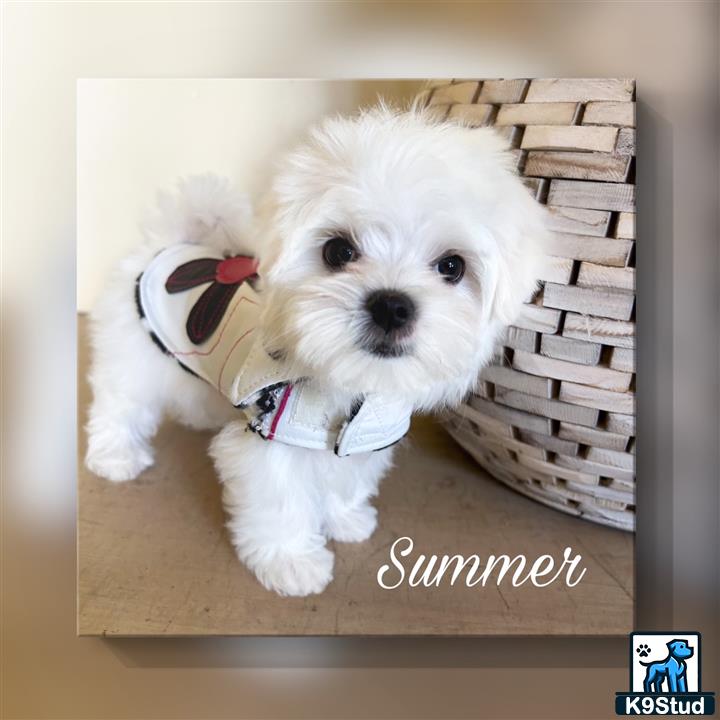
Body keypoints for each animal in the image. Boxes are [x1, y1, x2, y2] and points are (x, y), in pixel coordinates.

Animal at [83, 108, 544, 596]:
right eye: (338, 251)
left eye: (452, 266)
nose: (391, 305)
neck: (351, 383)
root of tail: (172, 243)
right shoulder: (270, 437)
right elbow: (281, 500)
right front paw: (291, 561)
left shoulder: (365, 439)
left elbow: (345, 480)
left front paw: (345, 519)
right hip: (133, 357)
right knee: (120, 406)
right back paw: (115, 458)